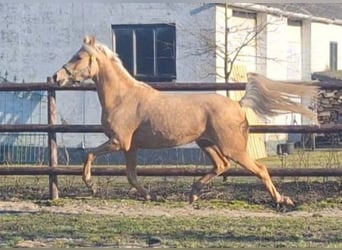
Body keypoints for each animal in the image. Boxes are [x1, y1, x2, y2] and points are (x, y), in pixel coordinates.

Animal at [53, 35, 318, 207]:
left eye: (78, 57)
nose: (57, 77)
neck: (122, 97)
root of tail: (238, 104)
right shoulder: (131, 147)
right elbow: (131, 174)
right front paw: (150, 196)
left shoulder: (118, 142)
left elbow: (89, 155)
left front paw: (91, 185)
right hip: (206, 143)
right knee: (221, 166)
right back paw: (193, 194)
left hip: (232, 147)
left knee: (259, 169)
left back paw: (282, 200)